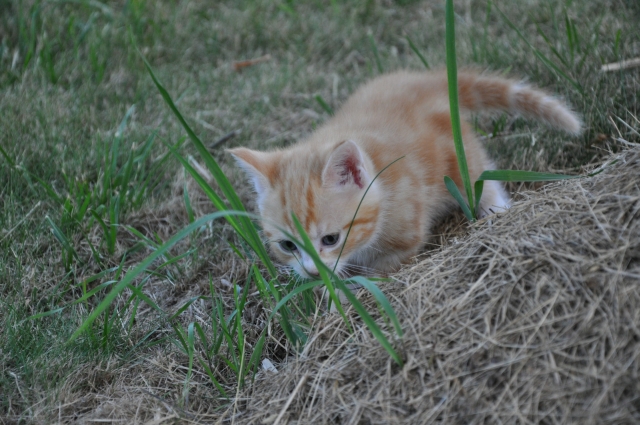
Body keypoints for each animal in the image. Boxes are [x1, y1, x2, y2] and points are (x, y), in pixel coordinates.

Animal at [229, 70, 580, 278]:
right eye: (287, 246)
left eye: (330, 239)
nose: (313, 273)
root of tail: (421, 80)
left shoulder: (407, 235)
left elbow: (382, 268)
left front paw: (351, 287)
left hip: (457, 150)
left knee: (478, 173)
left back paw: (495, 208)